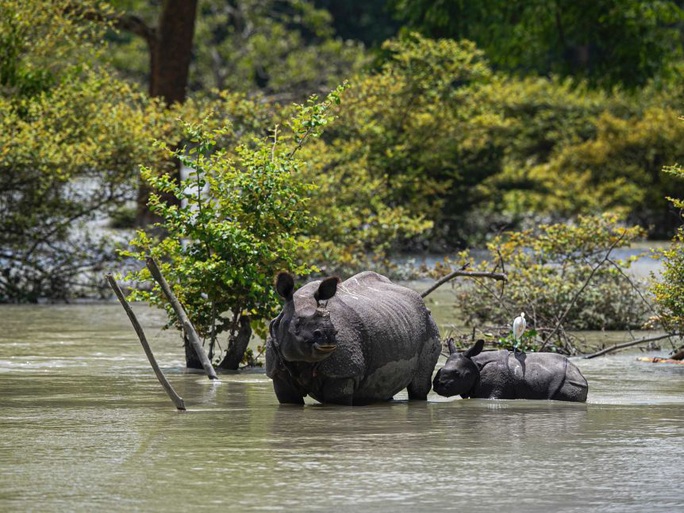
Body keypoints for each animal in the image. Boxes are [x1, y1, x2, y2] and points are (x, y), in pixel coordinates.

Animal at [264, 270, 440, 406]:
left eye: (330, 319)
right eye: (297, 323)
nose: (328, 334)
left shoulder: (344, 373)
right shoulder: (278, 374)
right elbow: (289, 400)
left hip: (428, 323)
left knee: (418, 386)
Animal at [432, 338, 588, 402]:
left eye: (458, 374)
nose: (437, 385)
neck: (475, 364)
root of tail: (579, 373)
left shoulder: (494, 389)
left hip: (568, 382)